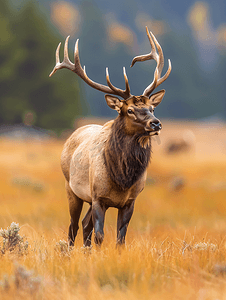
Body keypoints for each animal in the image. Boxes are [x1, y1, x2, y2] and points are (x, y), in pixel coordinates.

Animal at [49, 27, 171, 246]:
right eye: (129, 110)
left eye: (152, 108)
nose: (156, 123)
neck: (122, 178)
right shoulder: (98, 197)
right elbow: (99, 235)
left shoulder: (130, 201)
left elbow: (120, 239)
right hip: (71, 188)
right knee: (73, 227)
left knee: (84, 225)